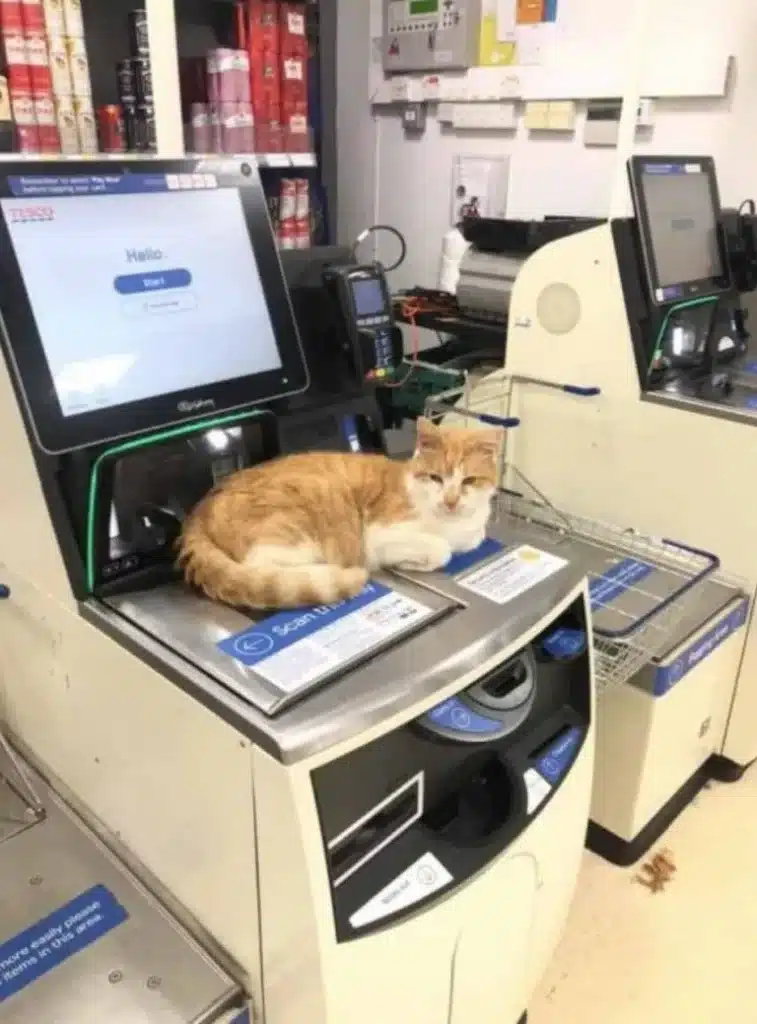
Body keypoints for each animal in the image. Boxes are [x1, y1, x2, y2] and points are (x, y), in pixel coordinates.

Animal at [179, 415, 503, 606]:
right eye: (436, 478)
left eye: (469, 481)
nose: (450, 500)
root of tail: (198, 511)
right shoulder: (381, 534)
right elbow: (440, 550)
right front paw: (414, 561)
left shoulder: (473, 534)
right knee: (262, 569)